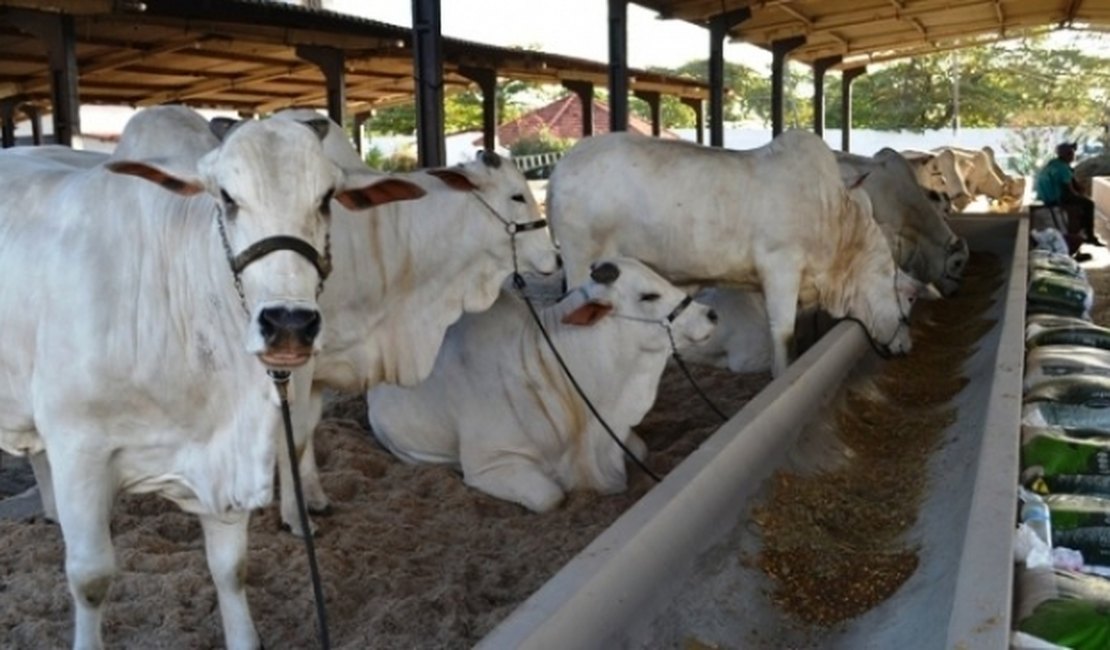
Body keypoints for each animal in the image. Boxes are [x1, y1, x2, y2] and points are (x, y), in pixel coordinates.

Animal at [0, 106, 424, 647]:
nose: (289, 324)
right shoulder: (79, 448)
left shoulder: (223, 453)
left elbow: (230, 569)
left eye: (326, 198)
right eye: (226, 197)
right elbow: (91, 578)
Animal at [548, 127, 927, 374]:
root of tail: (561, 167)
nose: (908, 346)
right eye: (909, 299)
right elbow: (784, 337)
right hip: (582, 263)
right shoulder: (780, 269)